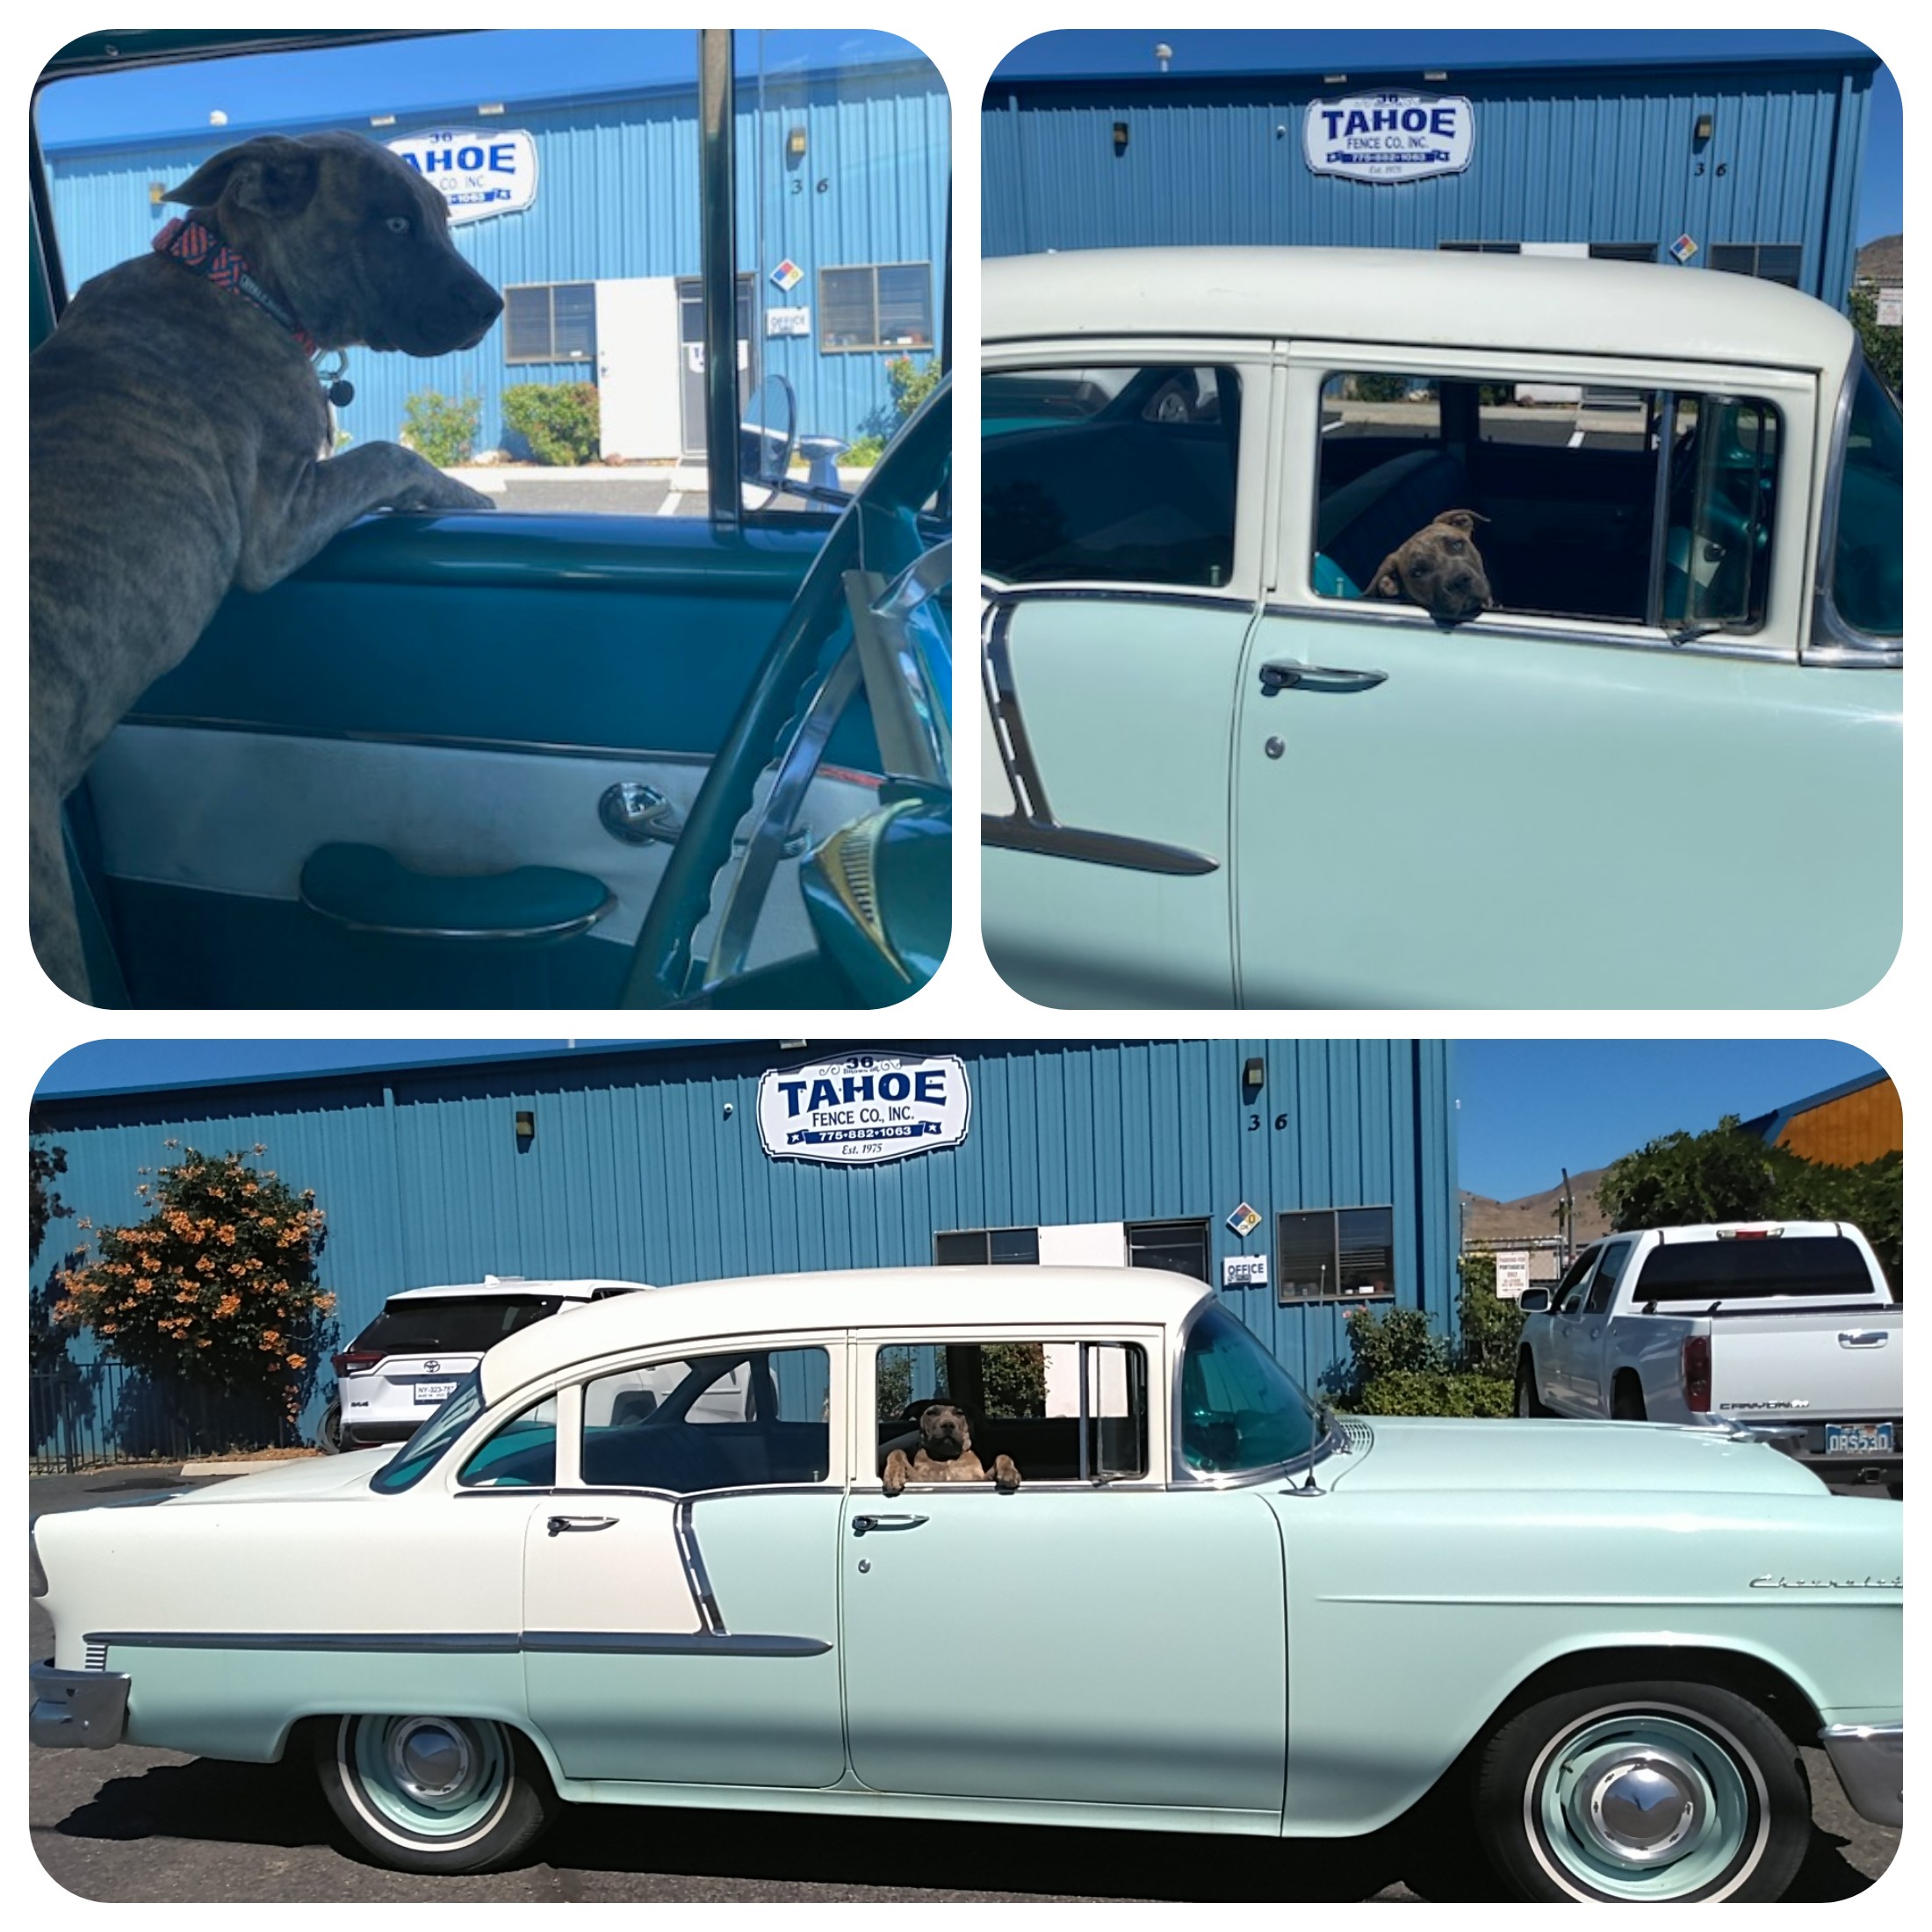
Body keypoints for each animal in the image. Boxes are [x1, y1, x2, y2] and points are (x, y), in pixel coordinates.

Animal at [31, 130, 506, 1005]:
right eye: (393, 224)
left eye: (441, 218)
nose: (490, 305)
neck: (240, 283)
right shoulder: (278, 520)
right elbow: (390, 452)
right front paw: (468, 492)